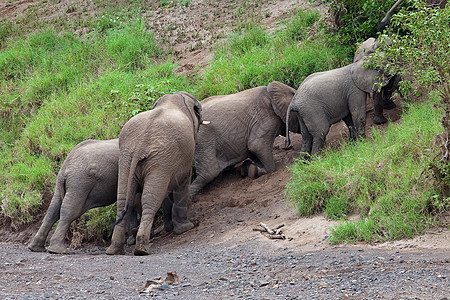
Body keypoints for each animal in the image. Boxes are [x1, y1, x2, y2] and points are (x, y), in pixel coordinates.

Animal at [105, 91, 204, 255]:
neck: (173, 98)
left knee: (124, 200)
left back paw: (114, 250)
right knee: (150, 200)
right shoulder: (182, 158)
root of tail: (140, 145)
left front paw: (170, 228)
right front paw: (185, 229)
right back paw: (142, 249)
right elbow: (182, 183)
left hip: (126, 158)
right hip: (159, 159)